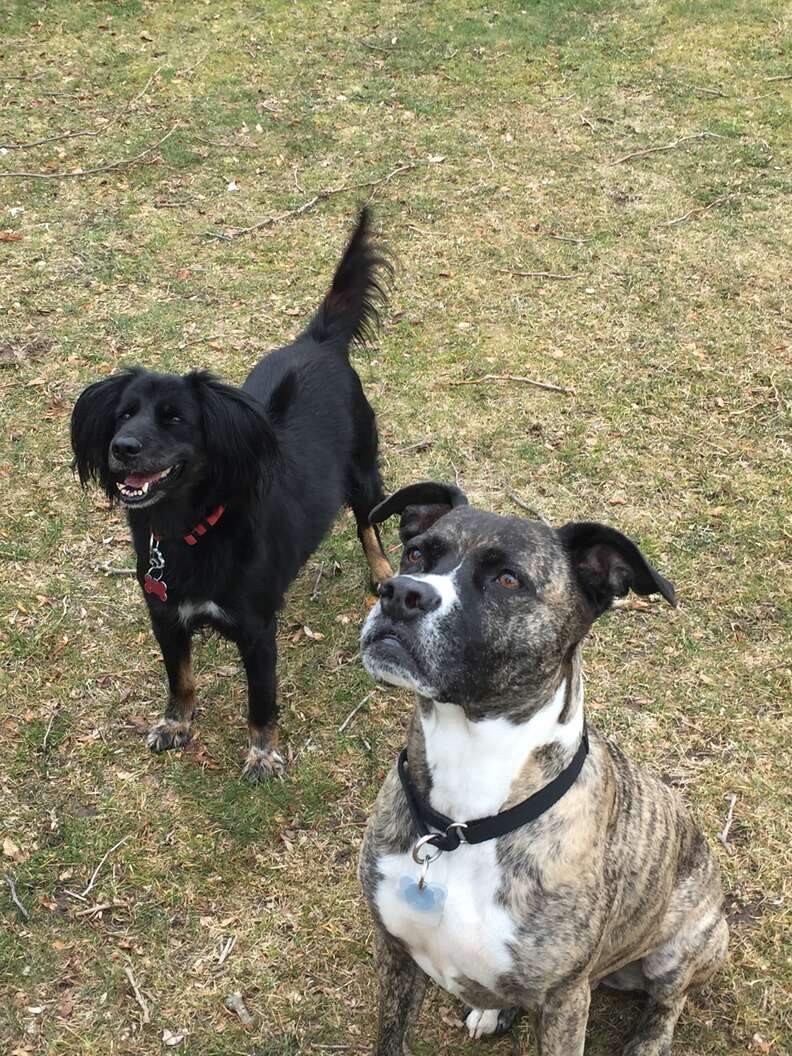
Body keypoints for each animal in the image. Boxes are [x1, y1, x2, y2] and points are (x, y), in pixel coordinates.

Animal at [71, 210, 394, 781]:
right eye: (124, 414)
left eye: (175, 419)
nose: (121, 448)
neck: (189, 528)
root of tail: (319, 341)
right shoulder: (166, 618)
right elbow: (180, 679)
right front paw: (176, 724)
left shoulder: (257, 632)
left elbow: (261, 702)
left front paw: (262, 754)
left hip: (363, 471)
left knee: (368, 523)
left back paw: (380, 571)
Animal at [363, 483, 730, 1056]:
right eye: (418, 553)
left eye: (508, 579)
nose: (399, 593)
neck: (464, 824)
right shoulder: (395, 951)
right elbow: (392, 1036)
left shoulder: (565, 1001)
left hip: (689, 943)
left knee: (670, 997)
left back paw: (648, 1040)